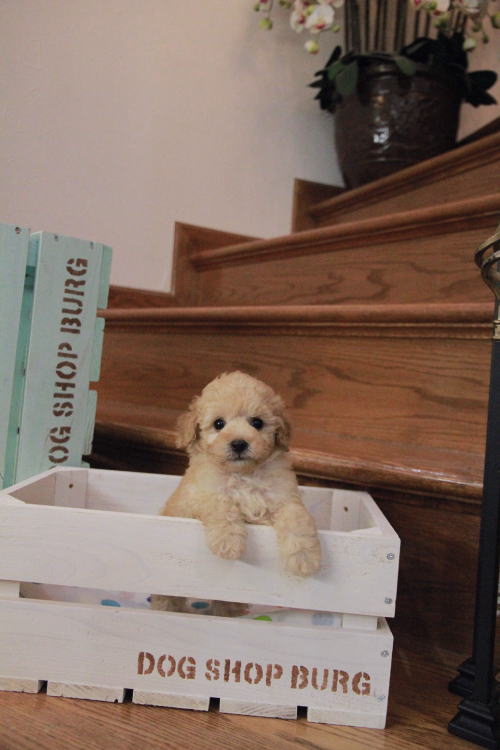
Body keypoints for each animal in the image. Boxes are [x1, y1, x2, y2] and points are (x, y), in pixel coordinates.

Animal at [151, 371, 321, 615]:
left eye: (257, 423)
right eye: (218, 423)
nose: (239, 443)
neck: (244, 475)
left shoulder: (284, 497)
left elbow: (297, 519)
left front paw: (305, 558)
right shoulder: (200, 496)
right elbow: (220, 504)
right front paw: (228, 542)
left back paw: (230, 613)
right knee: (167, 596)